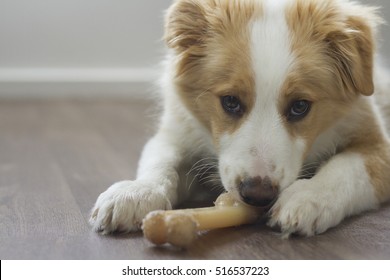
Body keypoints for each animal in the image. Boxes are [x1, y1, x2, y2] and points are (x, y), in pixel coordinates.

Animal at [90, 0, 390, 237]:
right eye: (231, 102)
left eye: (300, 106)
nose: (257, 195)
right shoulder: (176, 130)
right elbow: (161, 159)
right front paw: (136, 192)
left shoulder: (377, 143)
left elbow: (345, 169)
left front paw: (309, 197)